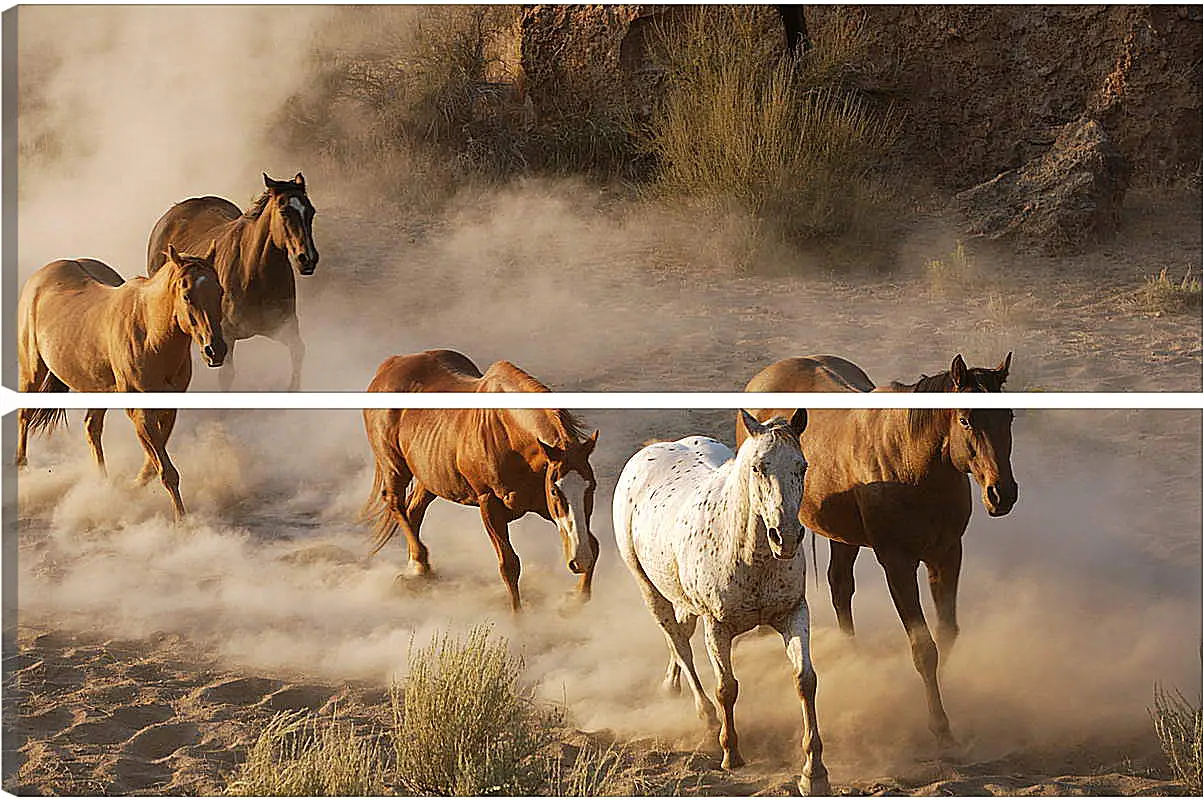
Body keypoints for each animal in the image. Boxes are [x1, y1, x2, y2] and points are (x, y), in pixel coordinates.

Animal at [15, 243, 227, 517]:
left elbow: (154, 465)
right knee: (24, 416)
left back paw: (103, 485)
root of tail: (40, 277)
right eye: (187, 295)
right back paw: (22, 469)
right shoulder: (140, 411)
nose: (216, 350)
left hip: (97, 389)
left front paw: (132, 486)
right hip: (32, 371)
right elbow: (166, 471)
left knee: (91, 427)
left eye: (220, 291)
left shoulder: (169, 408)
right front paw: (182, 521)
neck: (150, 335)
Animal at [145, 172, 319, 389]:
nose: (308, 258)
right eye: (284, 211)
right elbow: (226, 377)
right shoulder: (225, 336)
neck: (254, 274)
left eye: (311, 211)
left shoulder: (285, 327)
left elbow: (298, 352)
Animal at [356, 348, 601, 611]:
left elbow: (593, 545)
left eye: (591, 488)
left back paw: (418, 569)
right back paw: (420, 566)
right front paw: (519, 619)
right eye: (556, 491)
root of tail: (390, 365)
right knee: (395, 503)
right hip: (394, 466)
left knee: (414, 510)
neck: (509, 435)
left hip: (429, 477)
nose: (579, 560)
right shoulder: (490, 504)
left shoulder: (542, 505)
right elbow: (509, 565)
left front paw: (573, 601)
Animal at [611, 411, 827, 793]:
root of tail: (650, 450)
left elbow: (805, 680)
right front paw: (731, 754)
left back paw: (671, 685)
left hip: (682, 600)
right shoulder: (718, 626)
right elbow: (727, 688)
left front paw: (813, 772)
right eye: (758, 467)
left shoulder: (793, 613)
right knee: (680, 644)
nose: (785, 537)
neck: (749, 555)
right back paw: (706, 715)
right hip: (650, 590)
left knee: (680, 636)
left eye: (801, 466)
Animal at [736, 353, 1020, 755]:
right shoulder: (897, 562)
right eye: (965, 418)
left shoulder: (947, 554)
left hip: (842, 535)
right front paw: (938, 725)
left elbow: (946, 633)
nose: (1002, 494)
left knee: (840, 587)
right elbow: (924, 647)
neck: (914, 464)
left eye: (1008, 416)